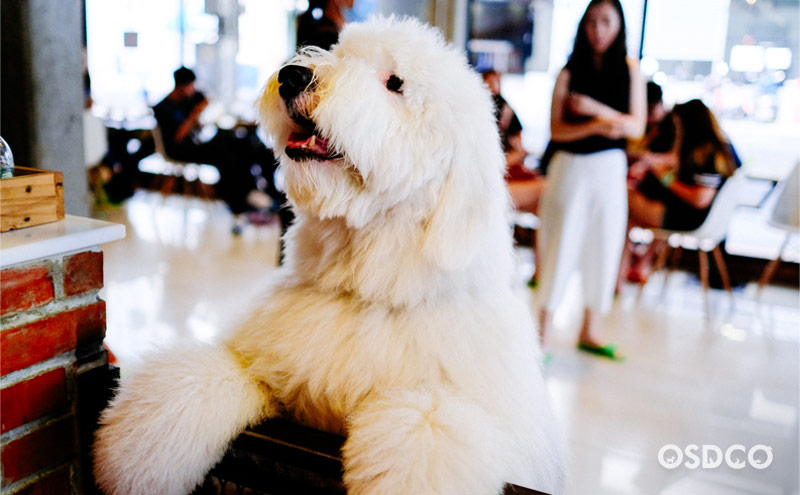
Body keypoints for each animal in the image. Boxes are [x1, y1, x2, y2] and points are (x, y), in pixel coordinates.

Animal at [94, 16, 564, 495]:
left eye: (395, 82)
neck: (363, 289)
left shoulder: (447, 410)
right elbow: (196, 379)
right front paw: (129, 458)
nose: (292, 76)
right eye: (339, 52)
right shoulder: (258, 365)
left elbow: (425, 429)